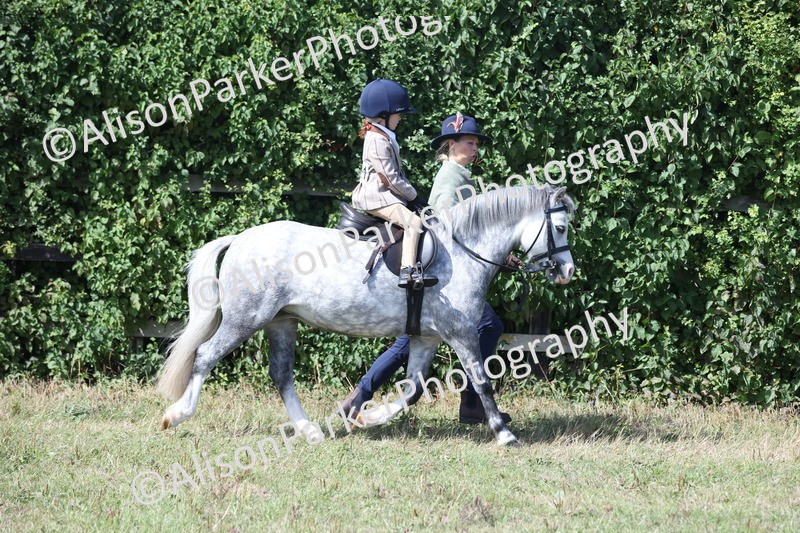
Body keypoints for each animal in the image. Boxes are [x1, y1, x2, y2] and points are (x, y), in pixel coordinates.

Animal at [156, 184, 576, 446]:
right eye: (559, 227)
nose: (568, 272)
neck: (461, 252)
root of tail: (239, 239)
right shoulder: (461, 333)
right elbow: (482, 381)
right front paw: (505, 435)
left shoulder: (425, 337)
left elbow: (412, 389)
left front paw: (365, 418)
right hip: (246, 319)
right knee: (206, 355)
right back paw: (176, 415)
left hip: (282, 322)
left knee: (281, 374)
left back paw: (311, 431)